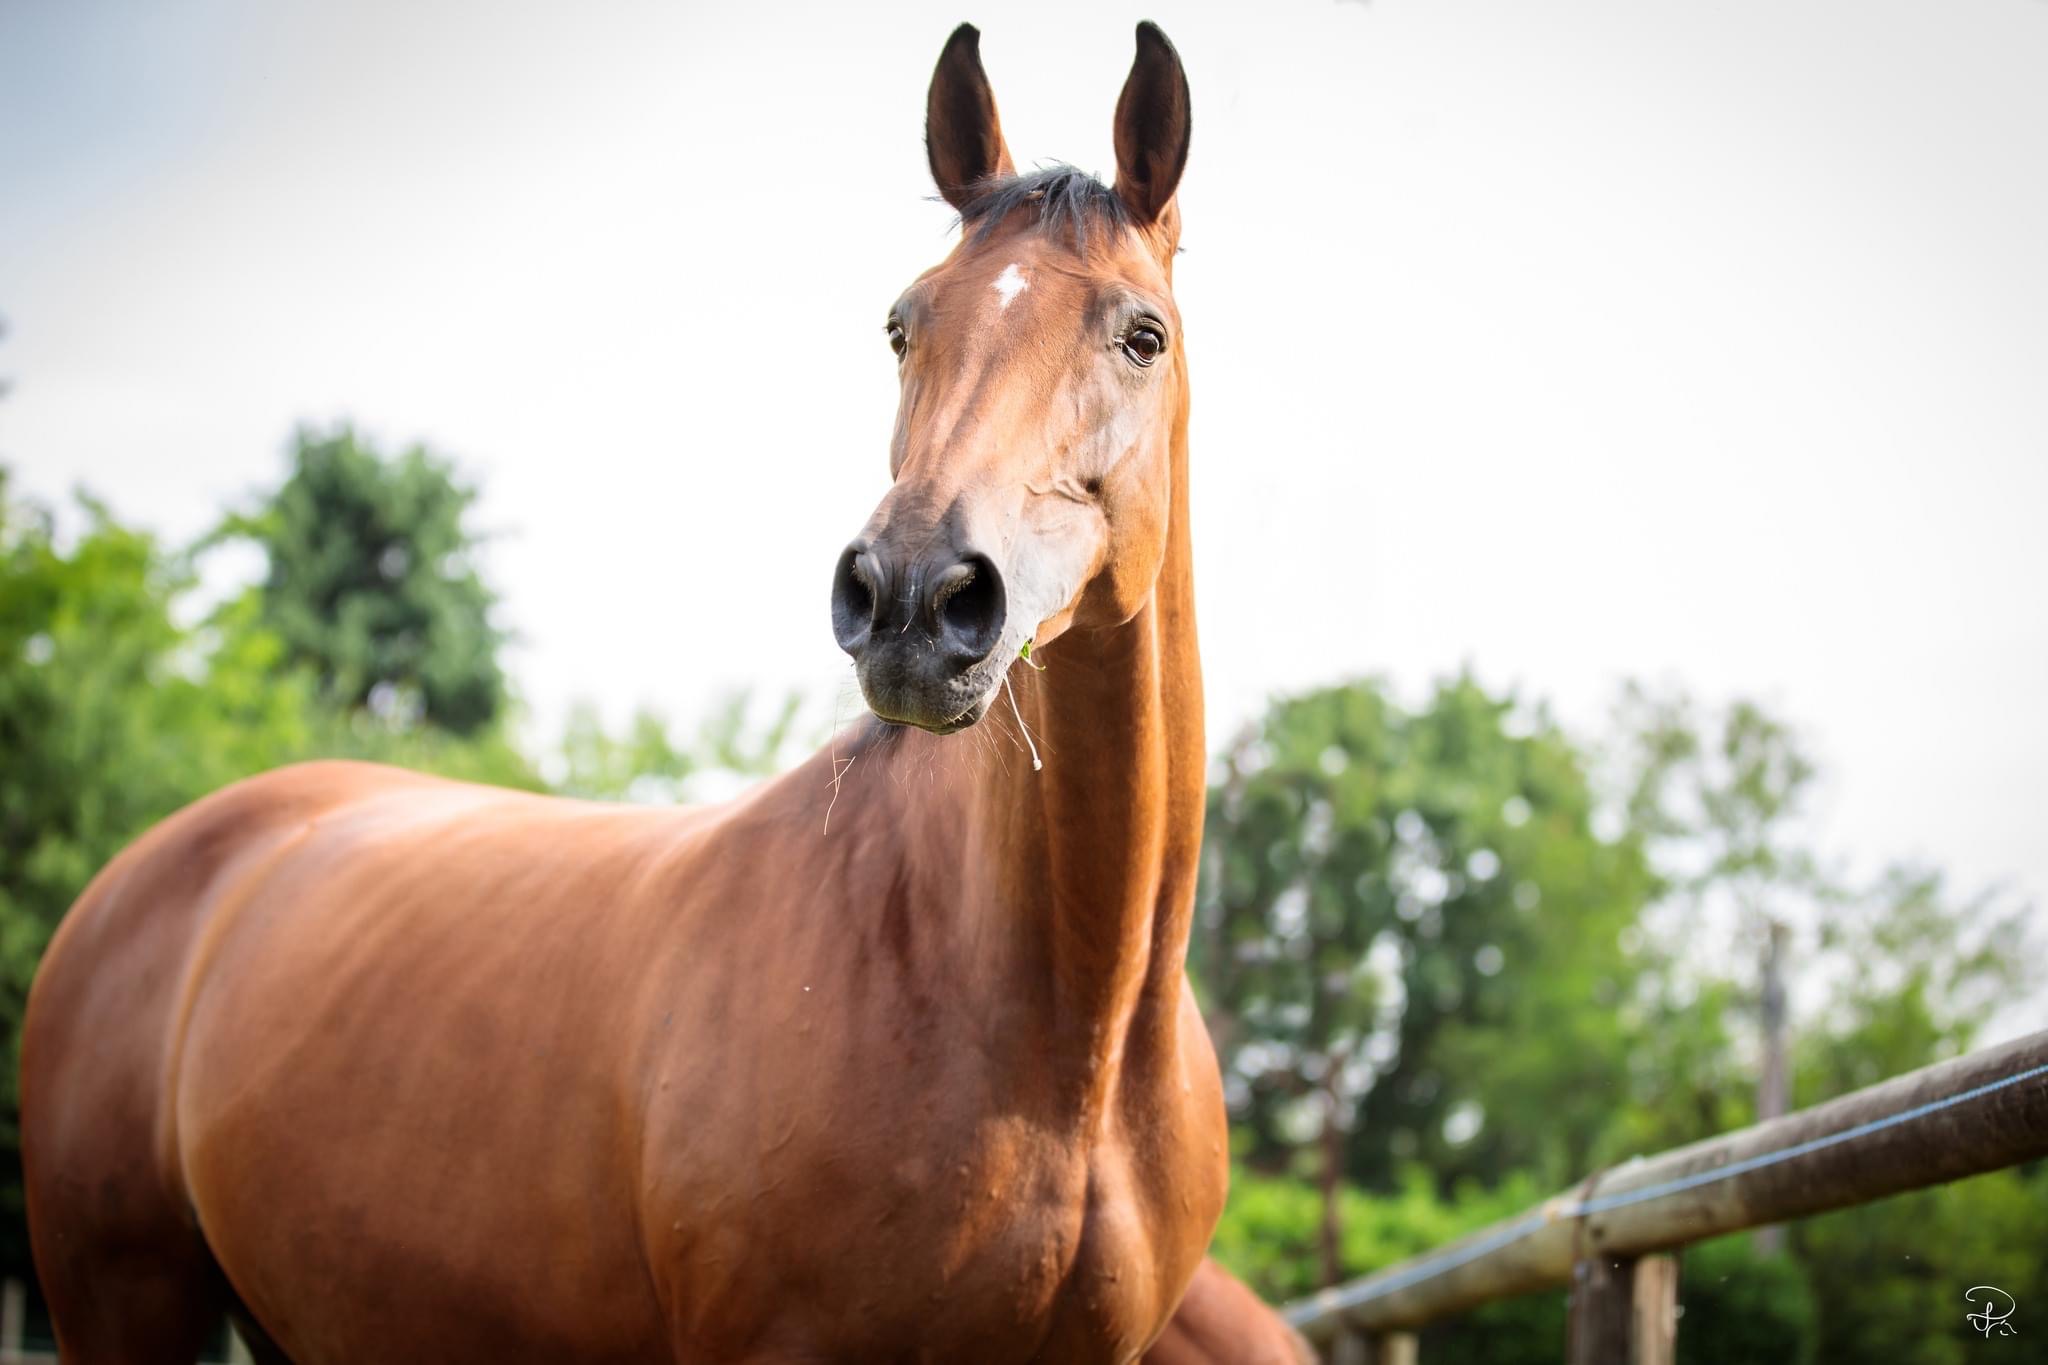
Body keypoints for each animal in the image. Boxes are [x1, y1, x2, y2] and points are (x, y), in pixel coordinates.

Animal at [24, 18, 1220, 1365]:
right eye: (902, 326)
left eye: (1140, 335)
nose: (912, 596)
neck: (1060, 1039)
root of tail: (144, 870)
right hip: (122, 1302)